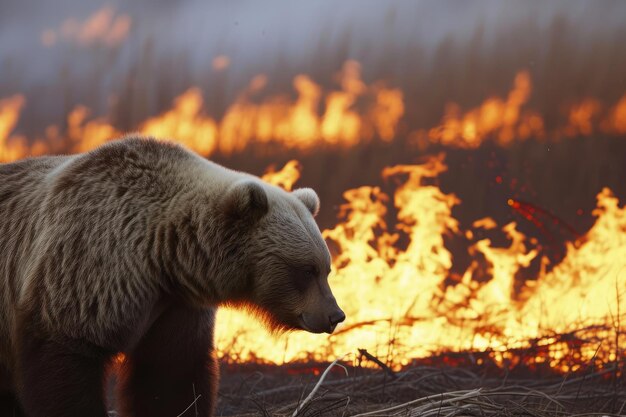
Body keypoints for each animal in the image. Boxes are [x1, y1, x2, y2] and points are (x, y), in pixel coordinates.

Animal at [0, 135, 342, 414]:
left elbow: (170, 374)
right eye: (306, 270)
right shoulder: (82, 273)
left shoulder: (174, 306)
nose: (335, 314)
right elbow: (65, 365)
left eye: (326, 269)